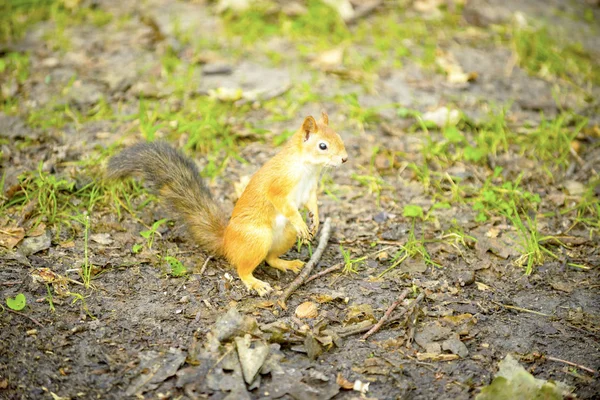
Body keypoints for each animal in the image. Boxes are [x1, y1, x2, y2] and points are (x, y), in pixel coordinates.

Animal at [109, 111, 346, 296]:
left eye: (339, 136)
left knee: (270, 258)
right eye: (322, 146)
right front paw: (302, 223)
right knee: (242, 268)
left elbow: (312, 203)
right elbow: (284, 204)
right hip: (257, 239)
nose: (344, 159)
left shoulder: (309, 189)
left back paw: (288, 263)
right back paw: (255, 283)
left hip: (284, 236)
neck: (307, 167)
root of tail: (227, 243)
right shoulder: (278, 185)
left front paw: (315, 220)